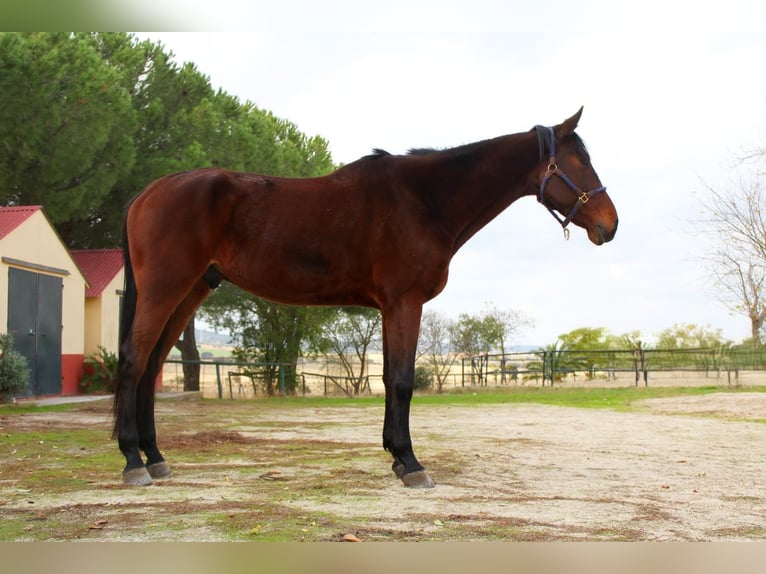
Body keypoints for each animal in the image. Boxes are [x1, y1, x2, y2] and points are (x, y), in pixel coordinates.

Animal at [113, 107, 618, 488]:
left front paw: (396, 457)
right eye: (580, 162)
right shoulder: (405, 302)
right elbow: (402, 381)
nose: (609, 225)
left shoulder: (392, 307)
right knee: (134, 362)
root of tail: (145, 193)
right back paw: (134, 463)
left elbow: (391, 380)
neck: (424, 200)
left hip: (191, 291)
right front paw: (412, 465)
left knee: (152, 367)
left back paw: (156, 457)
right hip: (165, 289)